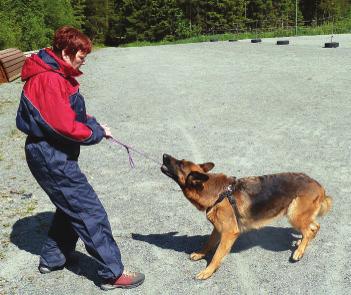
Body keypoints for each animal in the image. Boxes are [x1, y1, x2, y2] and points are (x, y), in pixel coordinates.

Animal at [162, 154, 332, 280]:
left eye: (180, 164)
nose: (164, 155)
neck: (217, 192)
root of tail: (319, 185)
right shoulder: (218, 229)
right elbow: (209, 243)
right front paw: (200, 254)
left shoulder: (229, 233)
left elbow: (217, 255)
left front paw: (207, 271)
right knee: (314, 227)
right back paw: (301, 243)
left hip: (293, 214)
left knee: (309, 229)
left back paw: (299, 251)